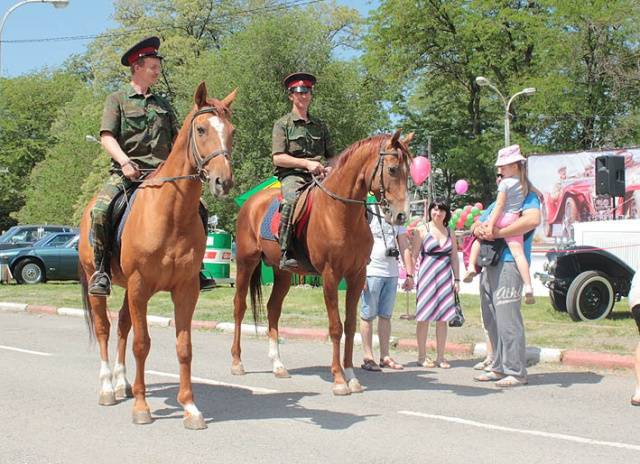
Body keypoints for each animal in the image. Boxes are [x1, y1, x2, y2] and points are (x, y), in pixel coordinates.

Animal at [79, 82, 236, 428]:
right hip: (99, 282)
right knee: (104, 328)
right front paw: (141, 407)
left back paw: (123, 383)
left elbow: (184, 346)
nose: (224, 182)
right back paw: (107, 387)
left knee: (122, 325)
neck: (171, 213)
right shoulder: (140, 286)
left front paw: (190, 407)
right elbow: (142, 343)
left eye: (231, 131)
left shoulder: (186, 289)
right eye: (201, 129)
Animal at [232, 130, 412, 396]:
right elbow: (335, 327)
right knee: (239, 307)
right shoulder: (330, 276)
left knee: (273, 309)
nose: (401, 215)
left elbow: (350, 326)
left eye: (409, 171)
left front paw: (351, 376)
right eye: (392, 169)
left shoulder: (357, 276)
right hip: (246, 263)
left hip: (283, 272)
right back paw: (237, 362)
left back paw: (278, 365)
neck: (341, 213)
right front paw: (338, 379)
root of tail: (251, 203)